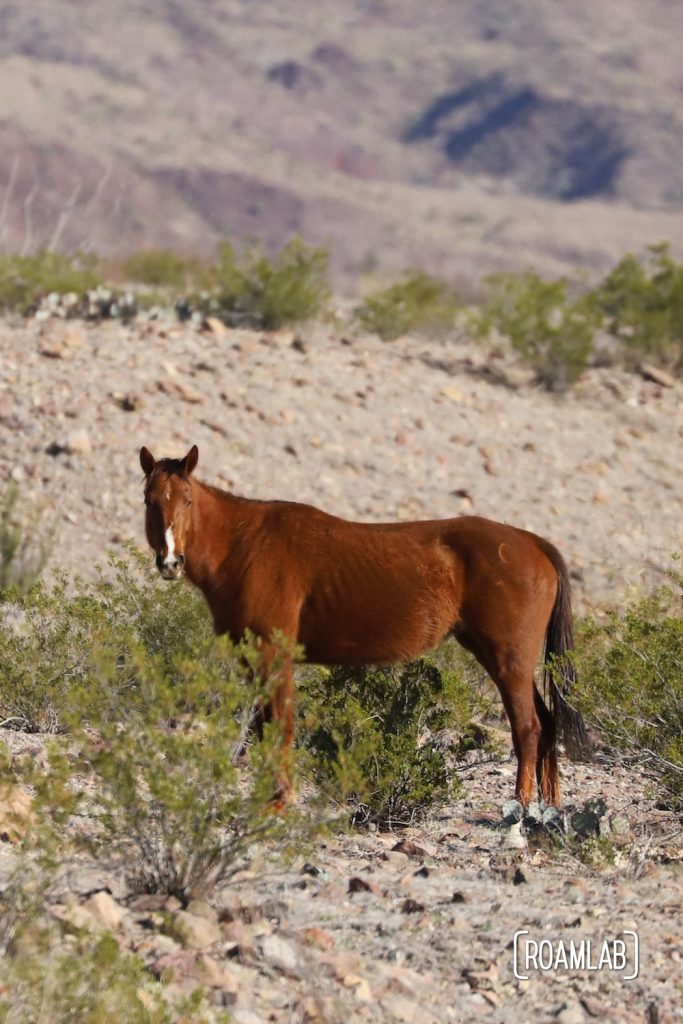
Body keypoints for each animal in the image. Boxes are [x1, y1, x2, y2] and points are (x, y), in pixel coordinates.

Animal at [139, 446, 589, 806]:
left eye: (187, 500)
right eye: (149, 500)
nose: (170, 561)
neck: (245, 545)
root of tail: (532, 542)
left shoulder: (274, 655)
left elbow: (282, 726)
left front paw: (280, 800)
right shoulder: (252, 659)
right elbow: (265, 728)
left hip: (509, 659)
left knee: (528, 727)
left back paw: (521, 804)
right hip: (498, 655)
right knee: (546, 724)